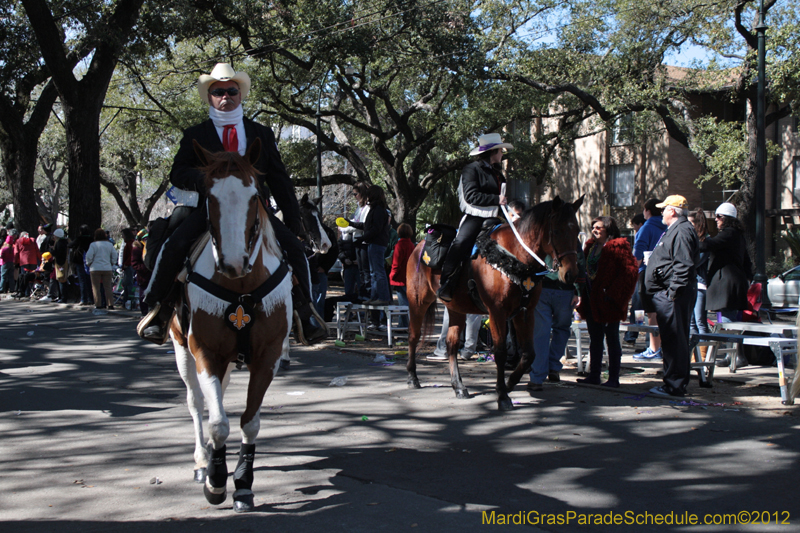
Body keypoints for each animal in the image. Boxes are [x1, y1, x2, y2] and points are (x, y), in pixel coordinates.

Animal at [169, 139, 294, 512]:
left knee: (218, 395)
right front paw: (216, 480)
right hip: (182, 349)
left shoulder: (269, 356)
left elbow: (249, 422)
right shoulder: (204, 350)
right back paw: (202, 460)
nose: (233, 263)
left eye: (254, 195)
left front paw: (243, 483)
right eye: (209, 196)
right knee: (197, 402)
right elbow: (218, 422)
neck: (241, 288)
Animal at [406, 197, 580, 410]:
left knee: (452, 344)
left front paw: (509, 384)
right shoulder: (497, 312)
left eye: (577, 231)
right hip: (418, 302)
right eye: (556, 231)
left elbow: (529, 354)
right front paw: (503, 395)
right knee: (414, 336)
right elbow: (500, 352)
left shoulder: (525, 312)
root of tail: (418, 246)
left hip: (456, 308)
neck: (513, 257)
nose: (571, 274)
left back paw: (459, 386)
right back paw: (413, 377)